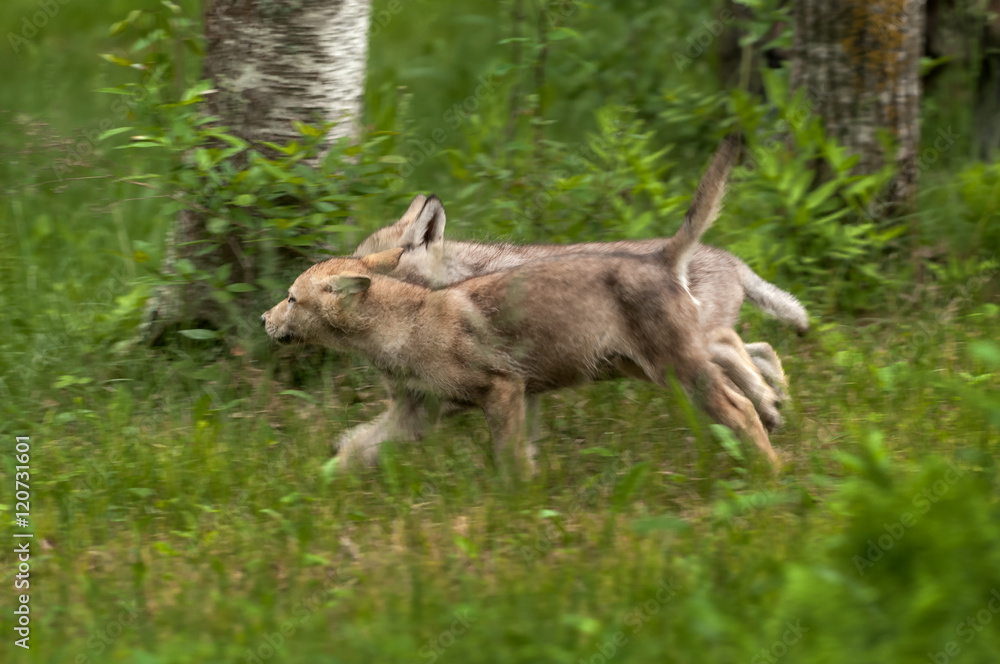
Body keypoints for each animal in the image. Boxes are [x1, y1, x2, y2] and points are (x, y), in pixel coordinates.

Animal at [263, 135, 781, 471]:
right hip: (644, 366)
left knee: (744, 384)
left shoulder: (499, 389)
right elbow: (354, 447)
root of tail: (665, 255)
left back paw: (769, 457)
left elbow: (508, 459)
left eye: (291, 298)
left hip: (679, 365)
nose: (265, 317)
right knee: (754, 361)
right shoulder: (446, 404)